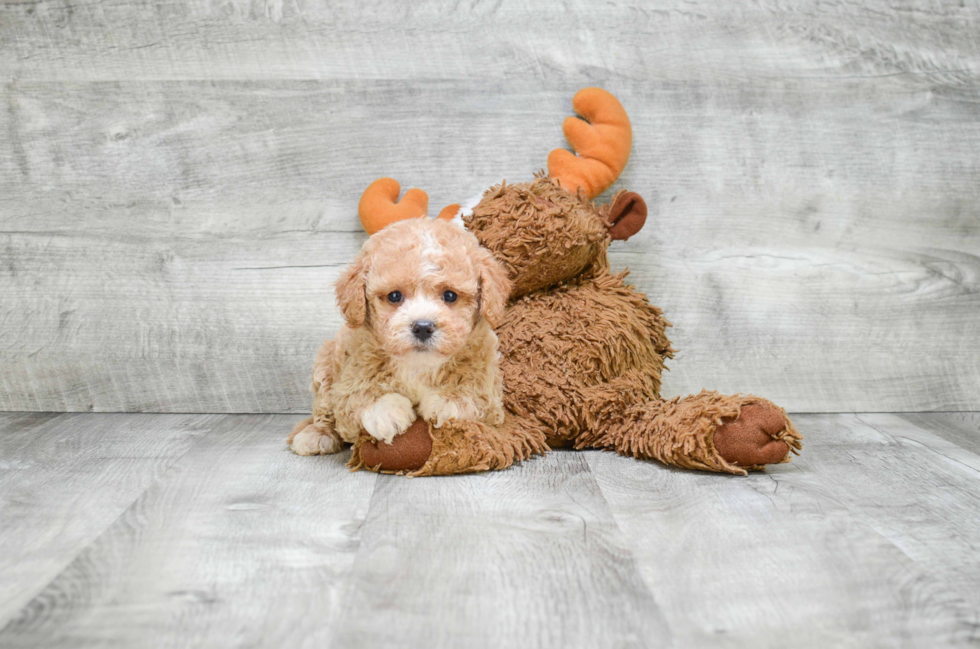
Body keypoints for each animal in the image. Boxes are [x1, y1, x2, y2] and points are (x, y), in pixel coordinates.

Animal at [286, 218, 510, 456]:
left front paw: (446, 402)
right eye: (395, 296)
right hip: (325, 365)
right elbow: (357, 396)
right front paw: (387, 412)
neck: (418, 365)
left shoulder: (490, 391)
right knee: (324, 411)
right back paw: (315, 435)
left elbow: (474, 396)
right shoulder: (350, 377)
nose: (423, 327)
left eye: (450, 296)